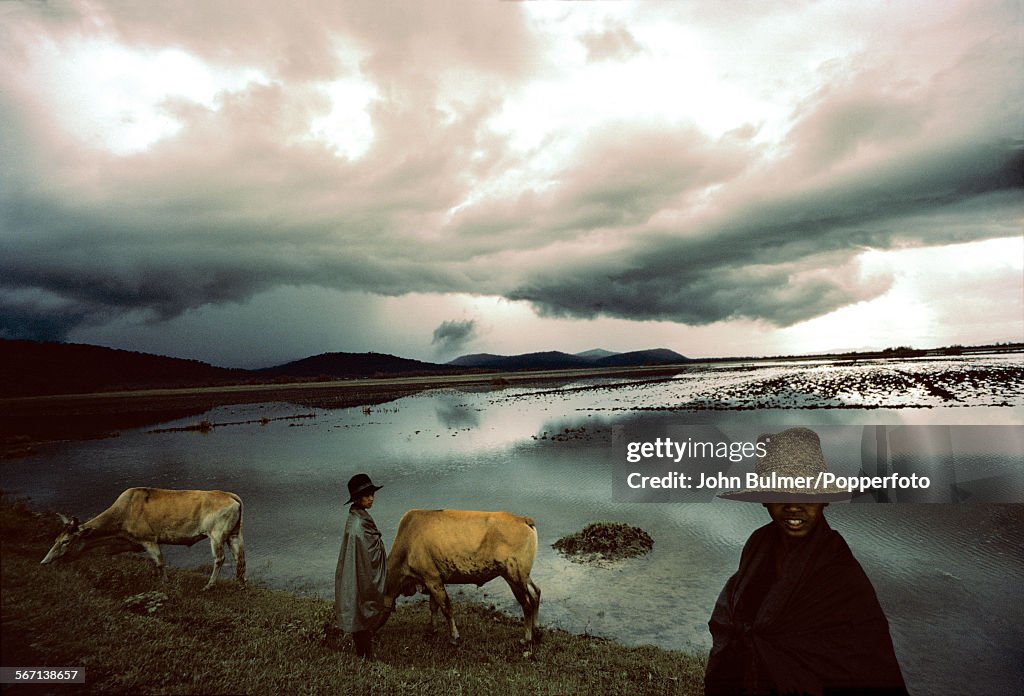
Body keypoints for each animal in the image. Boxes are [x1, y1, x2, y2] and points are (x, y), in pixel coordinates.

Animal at [42, 487, 247, 589]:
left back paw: (209, 585)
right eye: (55, 539)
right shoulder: (131, 543)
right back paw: (240, 583)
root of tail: (231, 495)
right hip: (234, 534)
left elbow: (159, 562)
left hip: (216, 535)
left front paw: (164, 584)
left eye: (66, 541)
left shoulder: (148, 539)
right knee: (240, 558)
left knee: (219, 558)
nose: (45, 561)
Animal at [380, 507, 540, 642]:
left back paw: (527, 638)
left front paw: (454, 636)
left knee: (527, 604)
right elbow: (433, 607)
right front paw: (432, 630)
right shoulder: (431, 580)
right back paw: (536, 630)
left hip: (514, 576)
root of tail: (522, 519)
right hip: (523, 576)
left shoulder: (432, 579)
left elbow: (446, 608)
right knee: (536, 593)